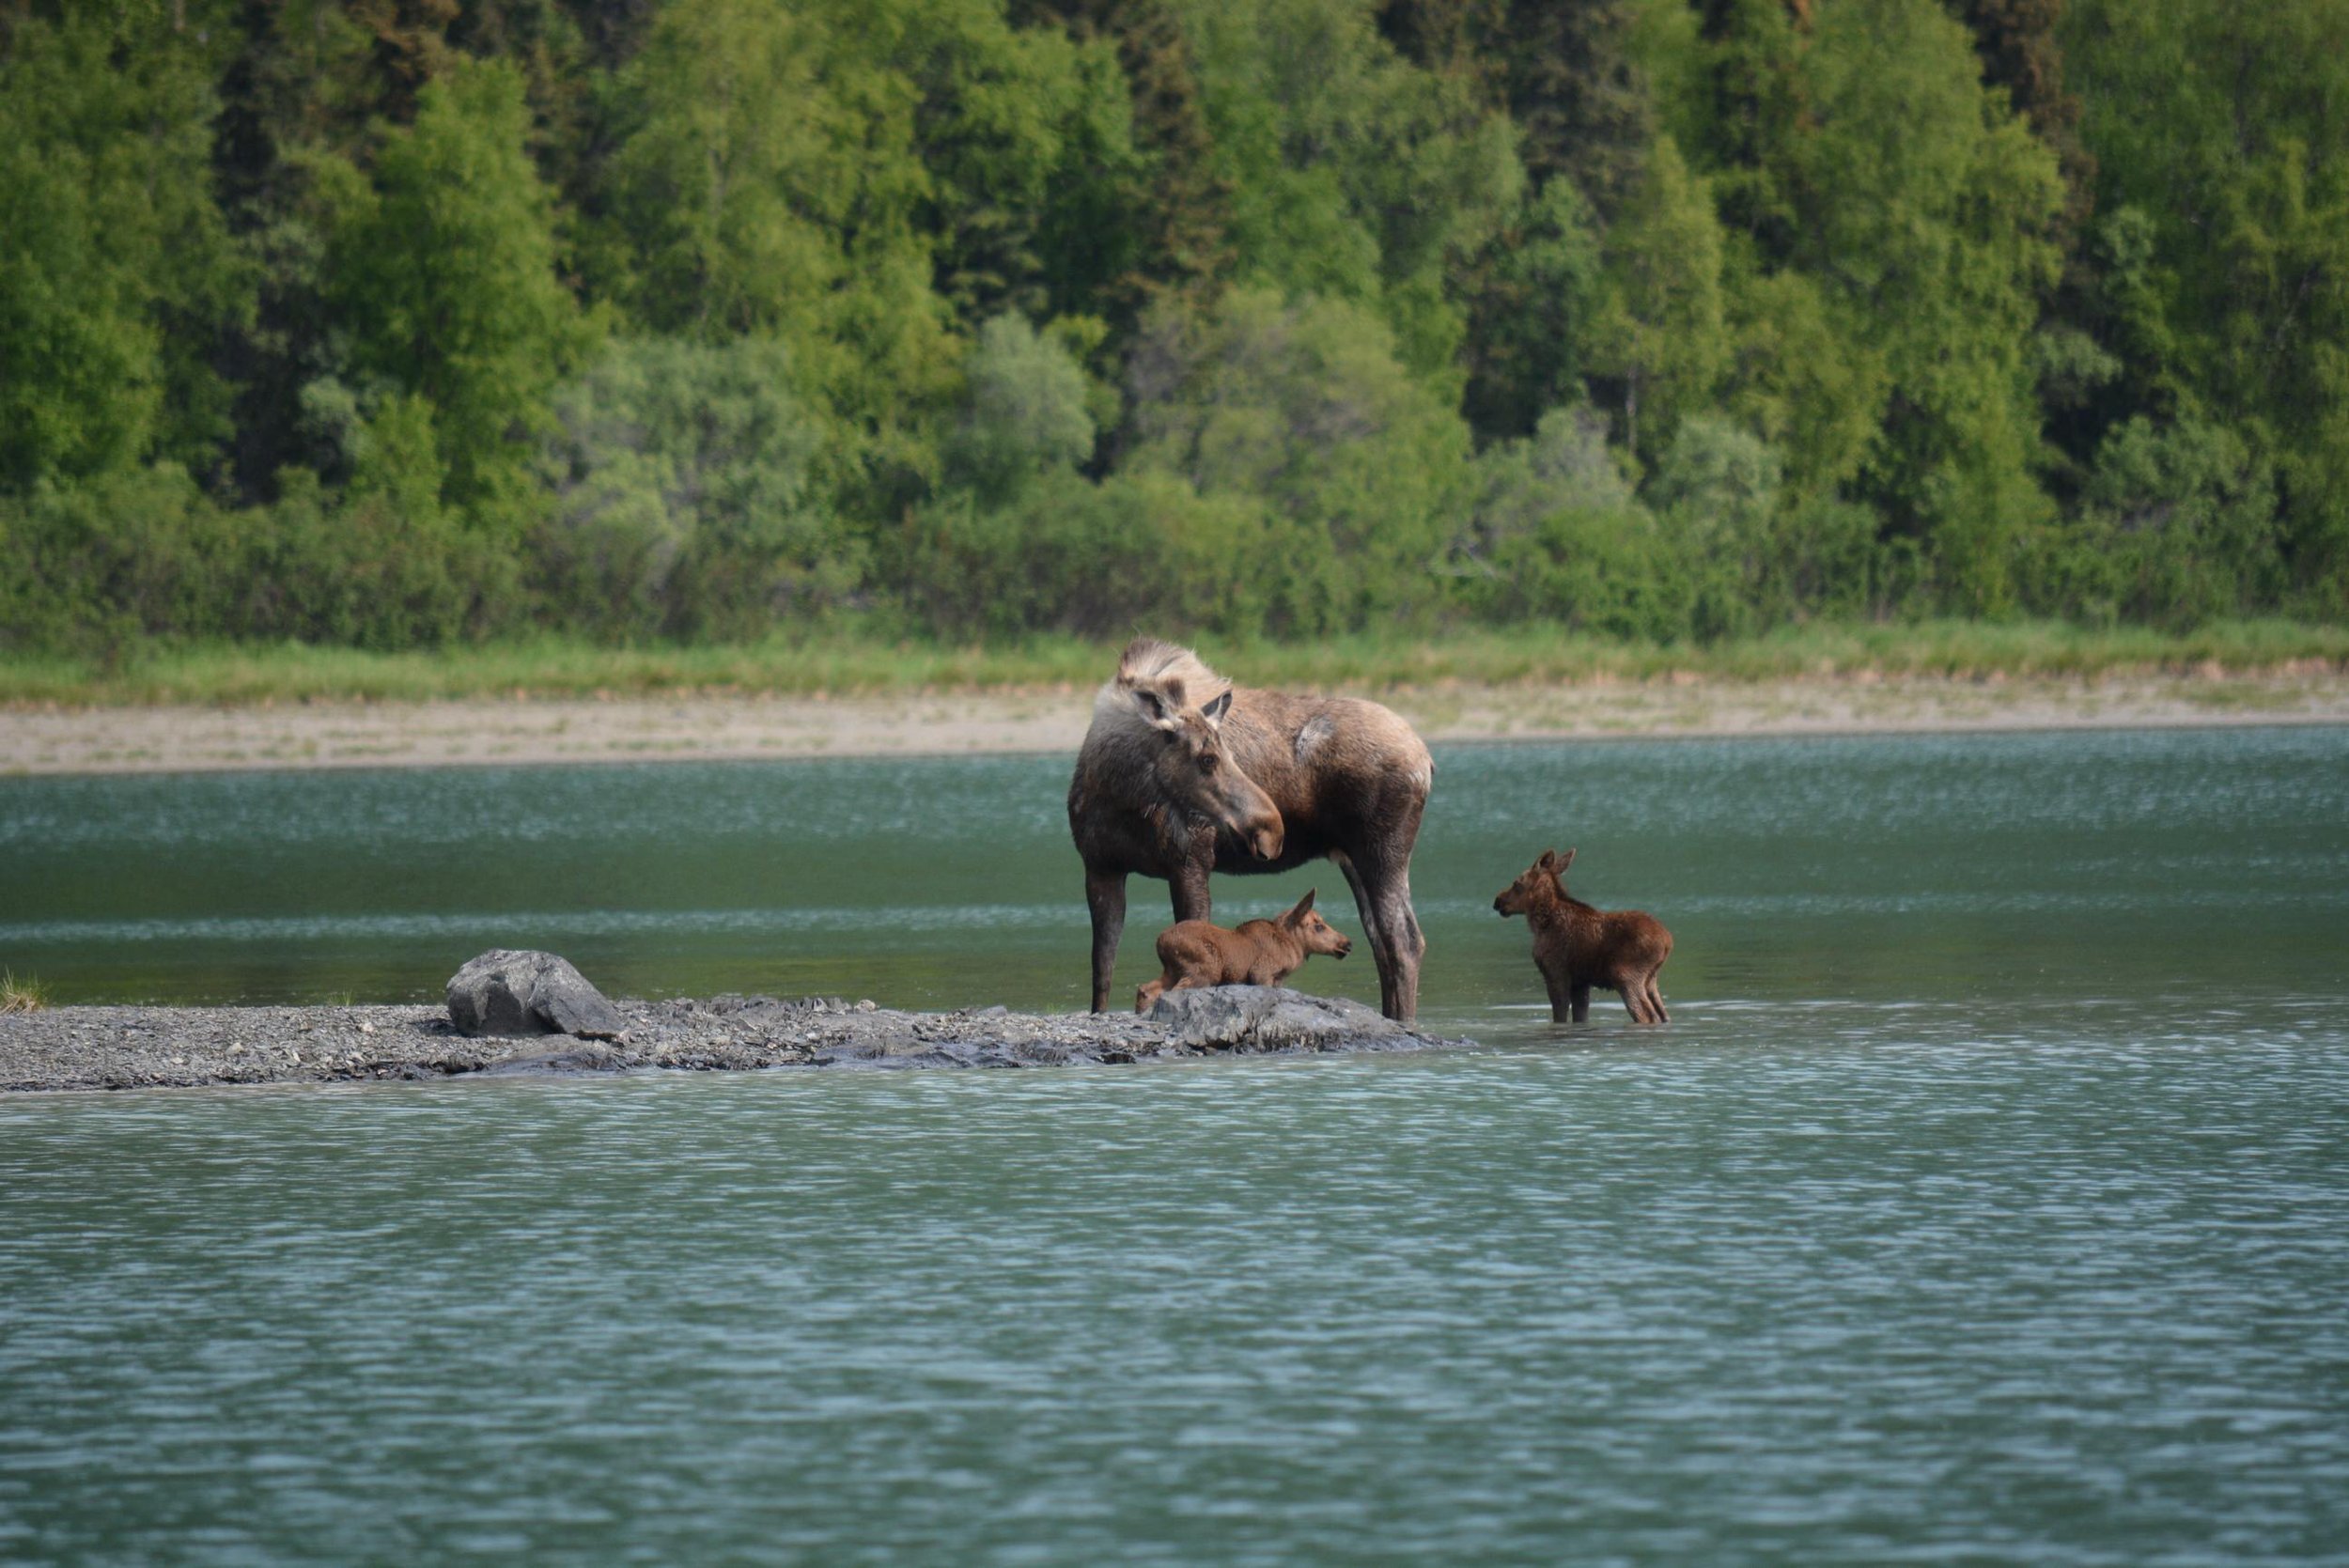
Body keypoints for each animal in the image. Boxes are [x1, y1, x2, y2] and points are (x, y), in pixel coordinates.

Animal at [1134, 889, 1354, 1013]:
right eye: (1319, 926)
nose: (1348, 943)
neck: (1292, 950)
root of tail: (1160, 941)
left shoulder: (1277, 980)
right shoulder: (1261, 974)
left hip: (1172, 969)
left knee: (1147, 989)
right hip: (1205, 970)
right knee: (1175, 991)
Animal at [1493, 848, 1673, 1024]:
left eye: (1517, 882)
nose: (1498, 901)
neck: (1540, 925)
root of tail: (1668, 942)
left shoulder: (1556, 972)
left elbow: (1560, 1015)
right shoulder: (1580, 982)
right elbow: (1580, 1016)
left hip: (1625, 975)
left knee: (1646, 1015)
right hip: (1651, 980)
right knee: (1663, 1014)